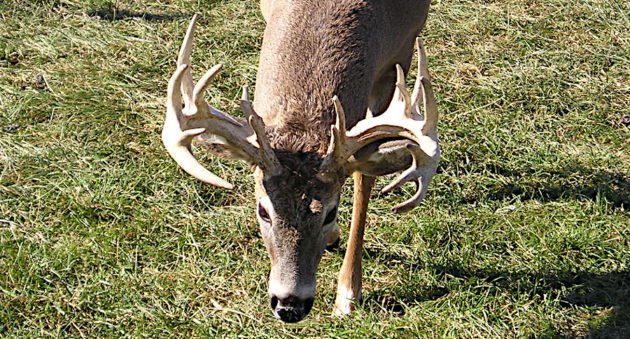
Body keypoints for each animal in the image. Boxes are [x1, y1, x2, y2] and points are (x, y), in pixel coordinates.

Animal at [163, 0, 440, 324]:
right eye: (263, 211)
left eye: (331, 213)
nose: (290, 305)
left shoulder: (402, 53)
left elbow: (365, 178)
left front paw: (348, 293)